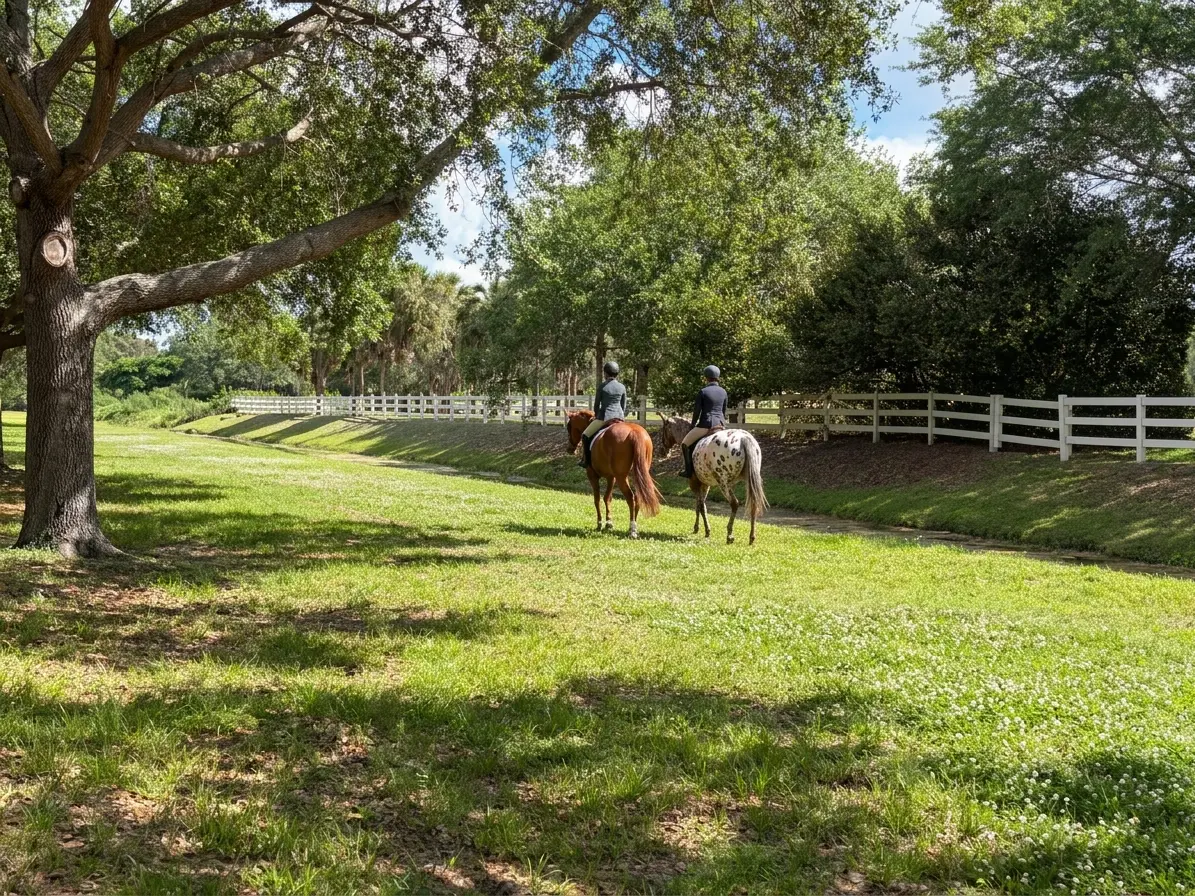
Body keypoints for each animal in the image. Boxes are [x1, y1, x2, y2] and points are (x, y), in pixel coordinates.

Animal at [659, 415, 768, 544]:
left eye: (664, 429)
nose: (662, 452)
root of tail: (744, 438)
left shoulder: (694, 483)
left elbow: (701, 506)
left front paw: (705, 530)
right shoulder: (705, 484)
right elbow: (700, 505)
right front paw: (698, 528)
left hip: (723, 482)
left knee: (734, 503)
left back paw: (729, 535)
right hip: (749, 479)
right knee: (754, 504)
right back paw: (751, 537)